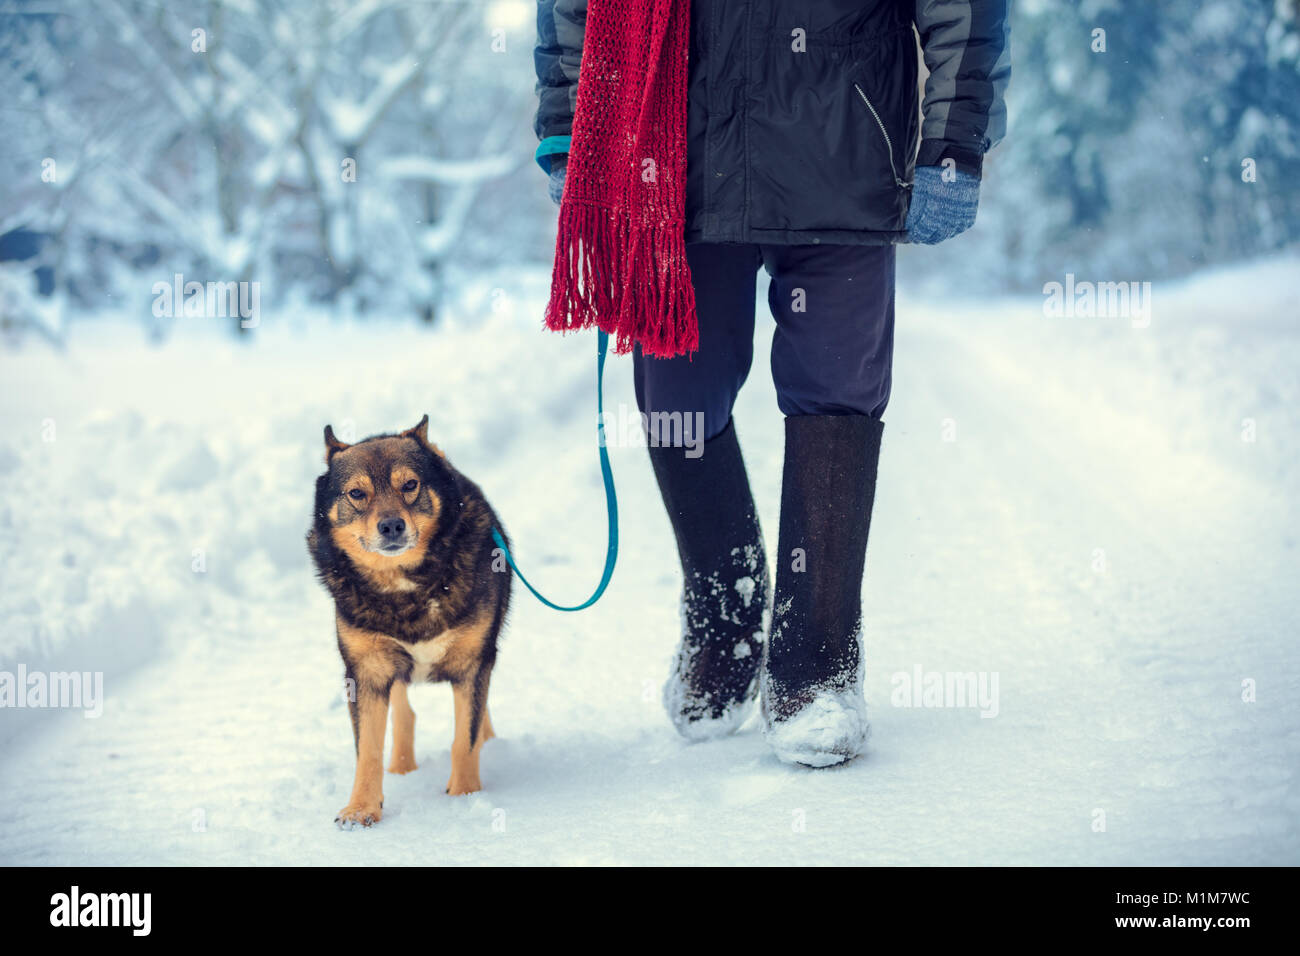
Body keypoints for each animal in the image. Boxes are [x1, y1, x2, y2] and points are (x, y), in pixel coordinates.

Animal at [306, 416, 509, 827]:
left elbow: (465, 738)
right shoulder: (366, 670)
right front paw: (361, 809)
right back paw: (401, 766)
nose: (391, 526)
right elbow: (368, 749)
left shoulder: (472, 662)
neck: (405, 586)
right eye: (357, 494)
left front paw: (465, 797)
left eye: (410, 485)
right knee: (404, 711)